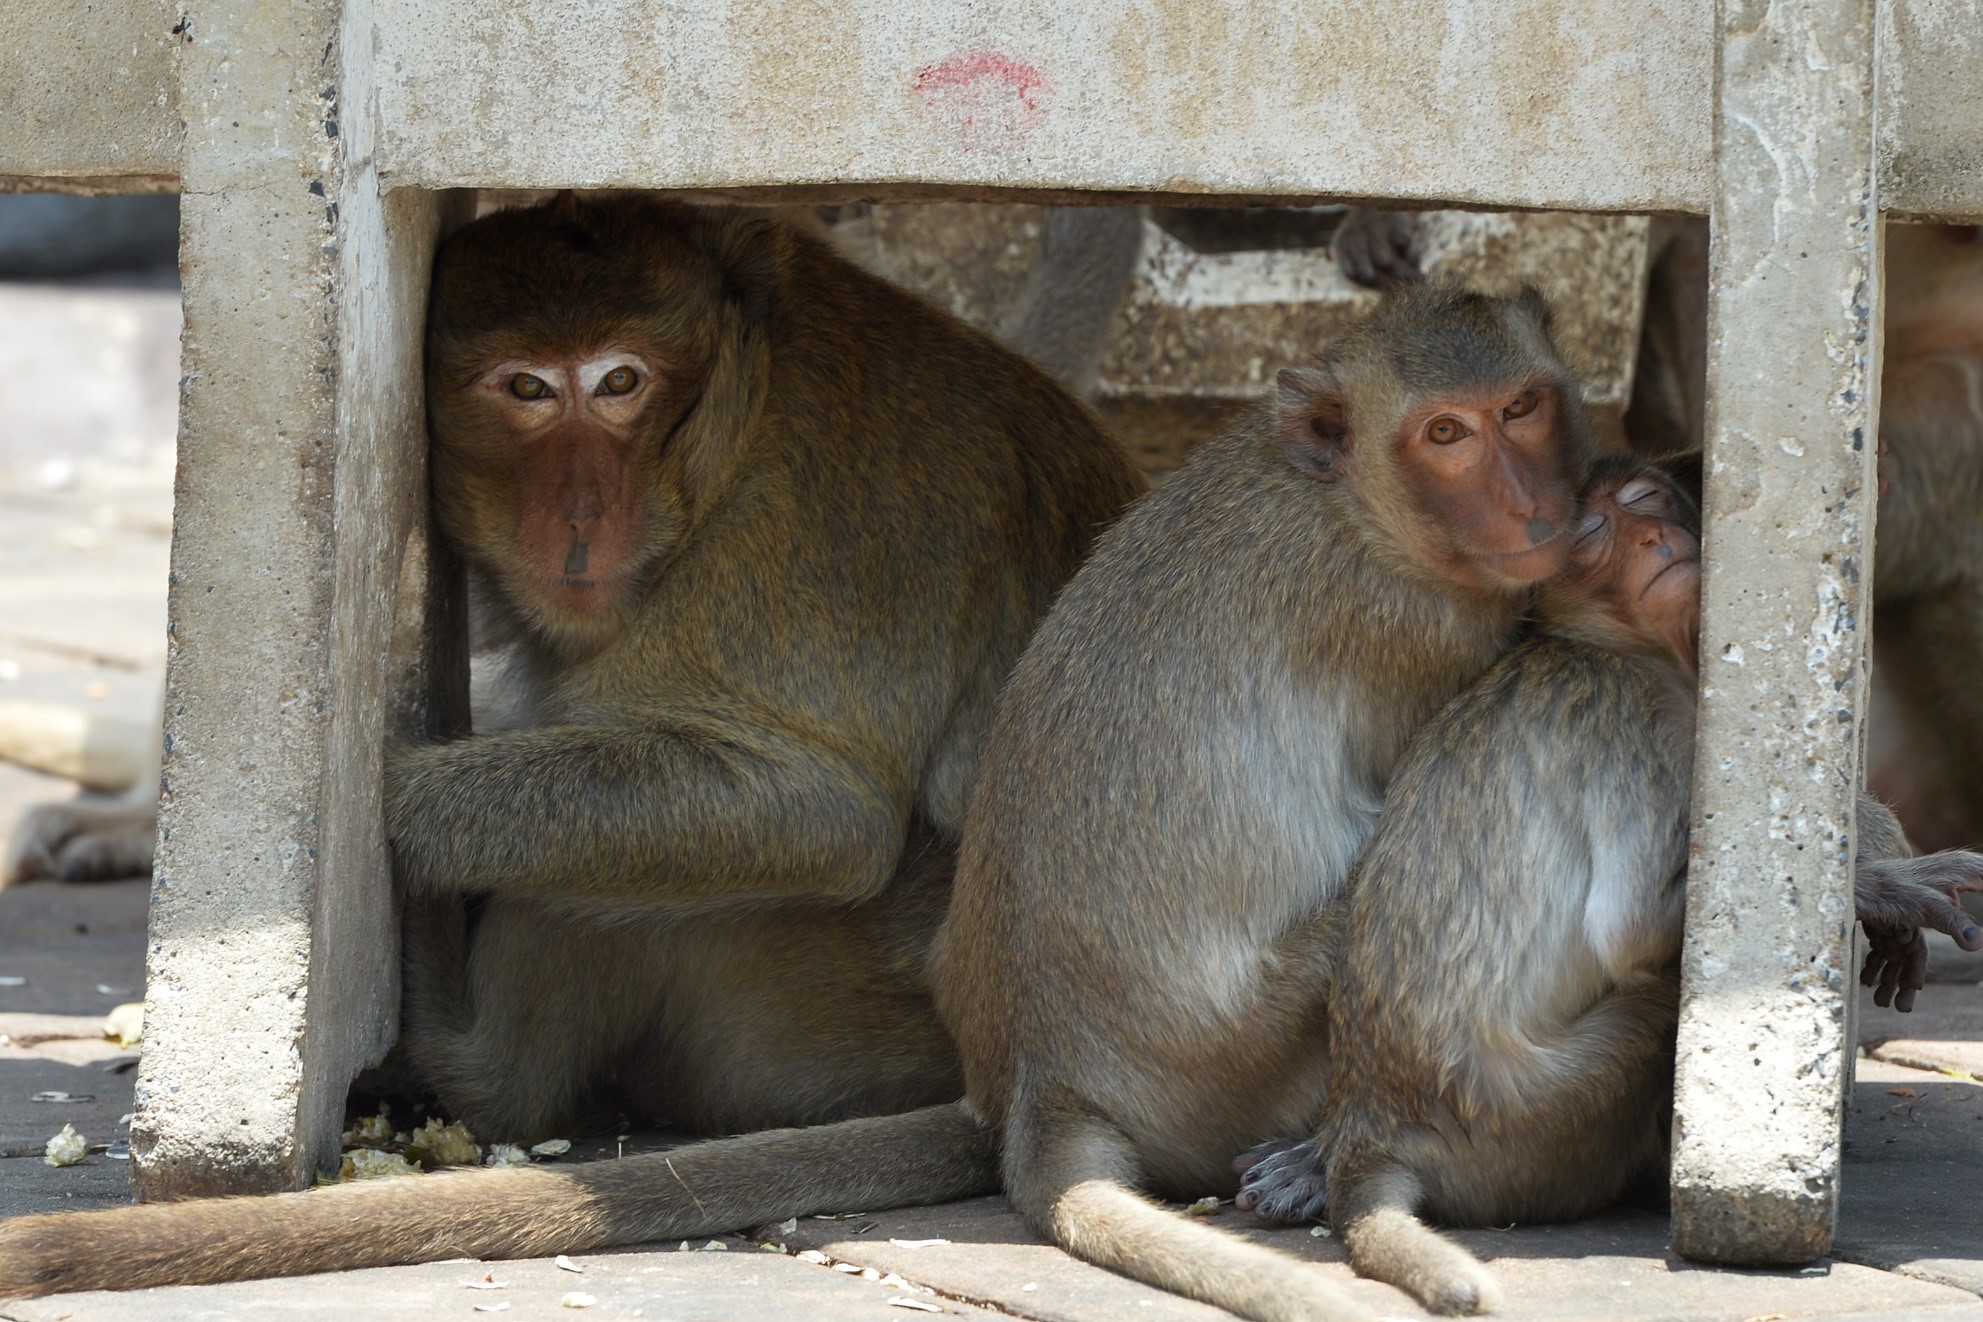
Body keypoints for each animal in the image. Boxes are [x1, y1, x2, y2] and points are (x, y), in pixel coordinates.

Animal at [1221, 455, 1983, 1316]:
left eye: (1646, 503)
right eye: (1592, 532)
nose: (1654, 539)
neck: (1619, 643)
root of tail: (1371, 1131)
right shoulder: (1633, 712)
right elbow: (1631, 931)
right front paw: (1880, 885)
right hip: (1533, 1127)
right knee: (1656, 1001)